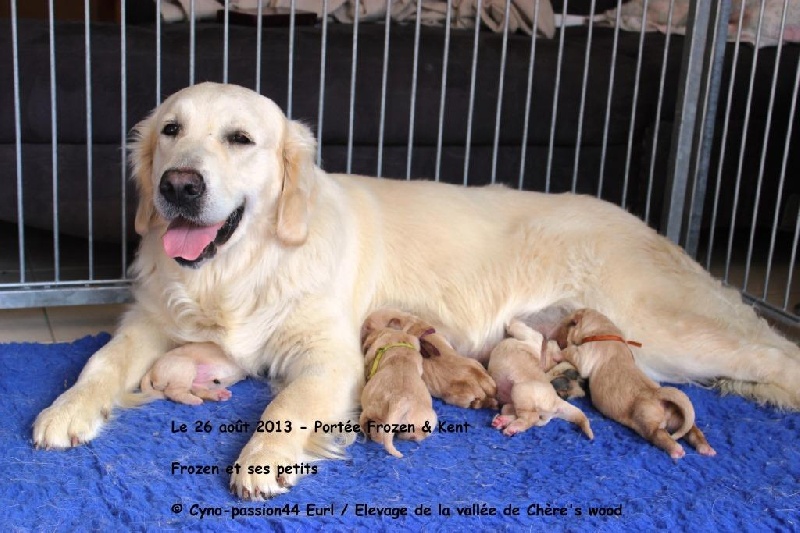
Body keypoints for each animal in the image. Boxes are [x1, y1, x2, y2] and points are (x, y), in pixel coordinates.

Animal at [552, 308, 716, 458]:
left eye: (567, 323)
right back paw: (705, 448)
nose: (554, 337)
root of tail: (658, 395)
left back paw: (676, 450)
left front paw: (558, 354)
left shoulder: (585, 353)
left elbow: (572, 353)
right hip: (678, 418)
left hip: (646, 417)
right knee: (693, 430)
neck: (605, 331)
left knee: (658, 434)